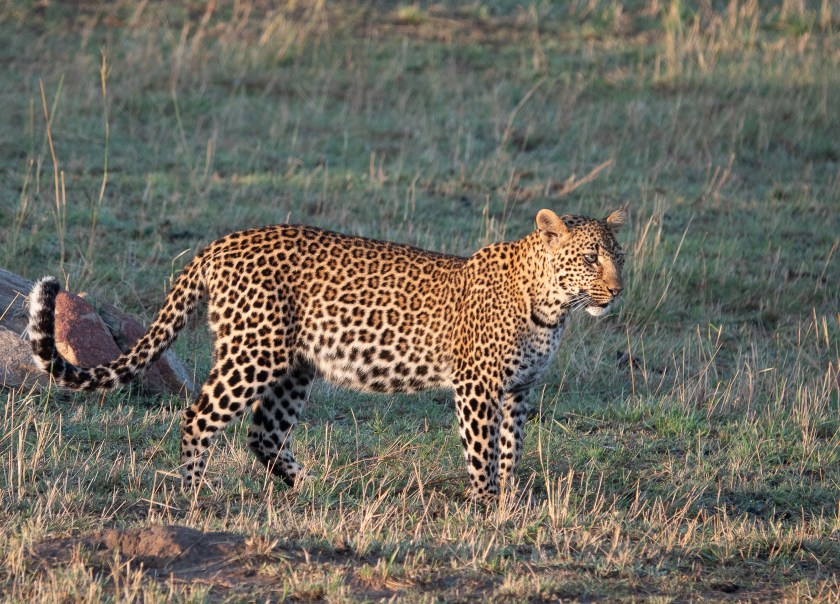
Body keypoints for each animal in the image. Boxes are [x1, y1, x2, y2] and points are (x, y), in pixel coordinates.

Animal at [28, 208, 626, 503]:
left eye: (619, 255)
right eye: (590, 259)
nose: (618, 290)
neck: (550, 308)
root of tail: (220, 244)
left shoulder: (519, 391)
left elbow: (511, 449)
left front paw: (509, 501)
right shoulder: (478, 387)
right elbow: (482, 451)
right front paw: (484, 505)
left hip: (293, 366)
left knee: (263, 433)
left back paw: (312, 489)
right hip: (253, 353)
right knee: (198, 416)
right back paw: (195, 493)